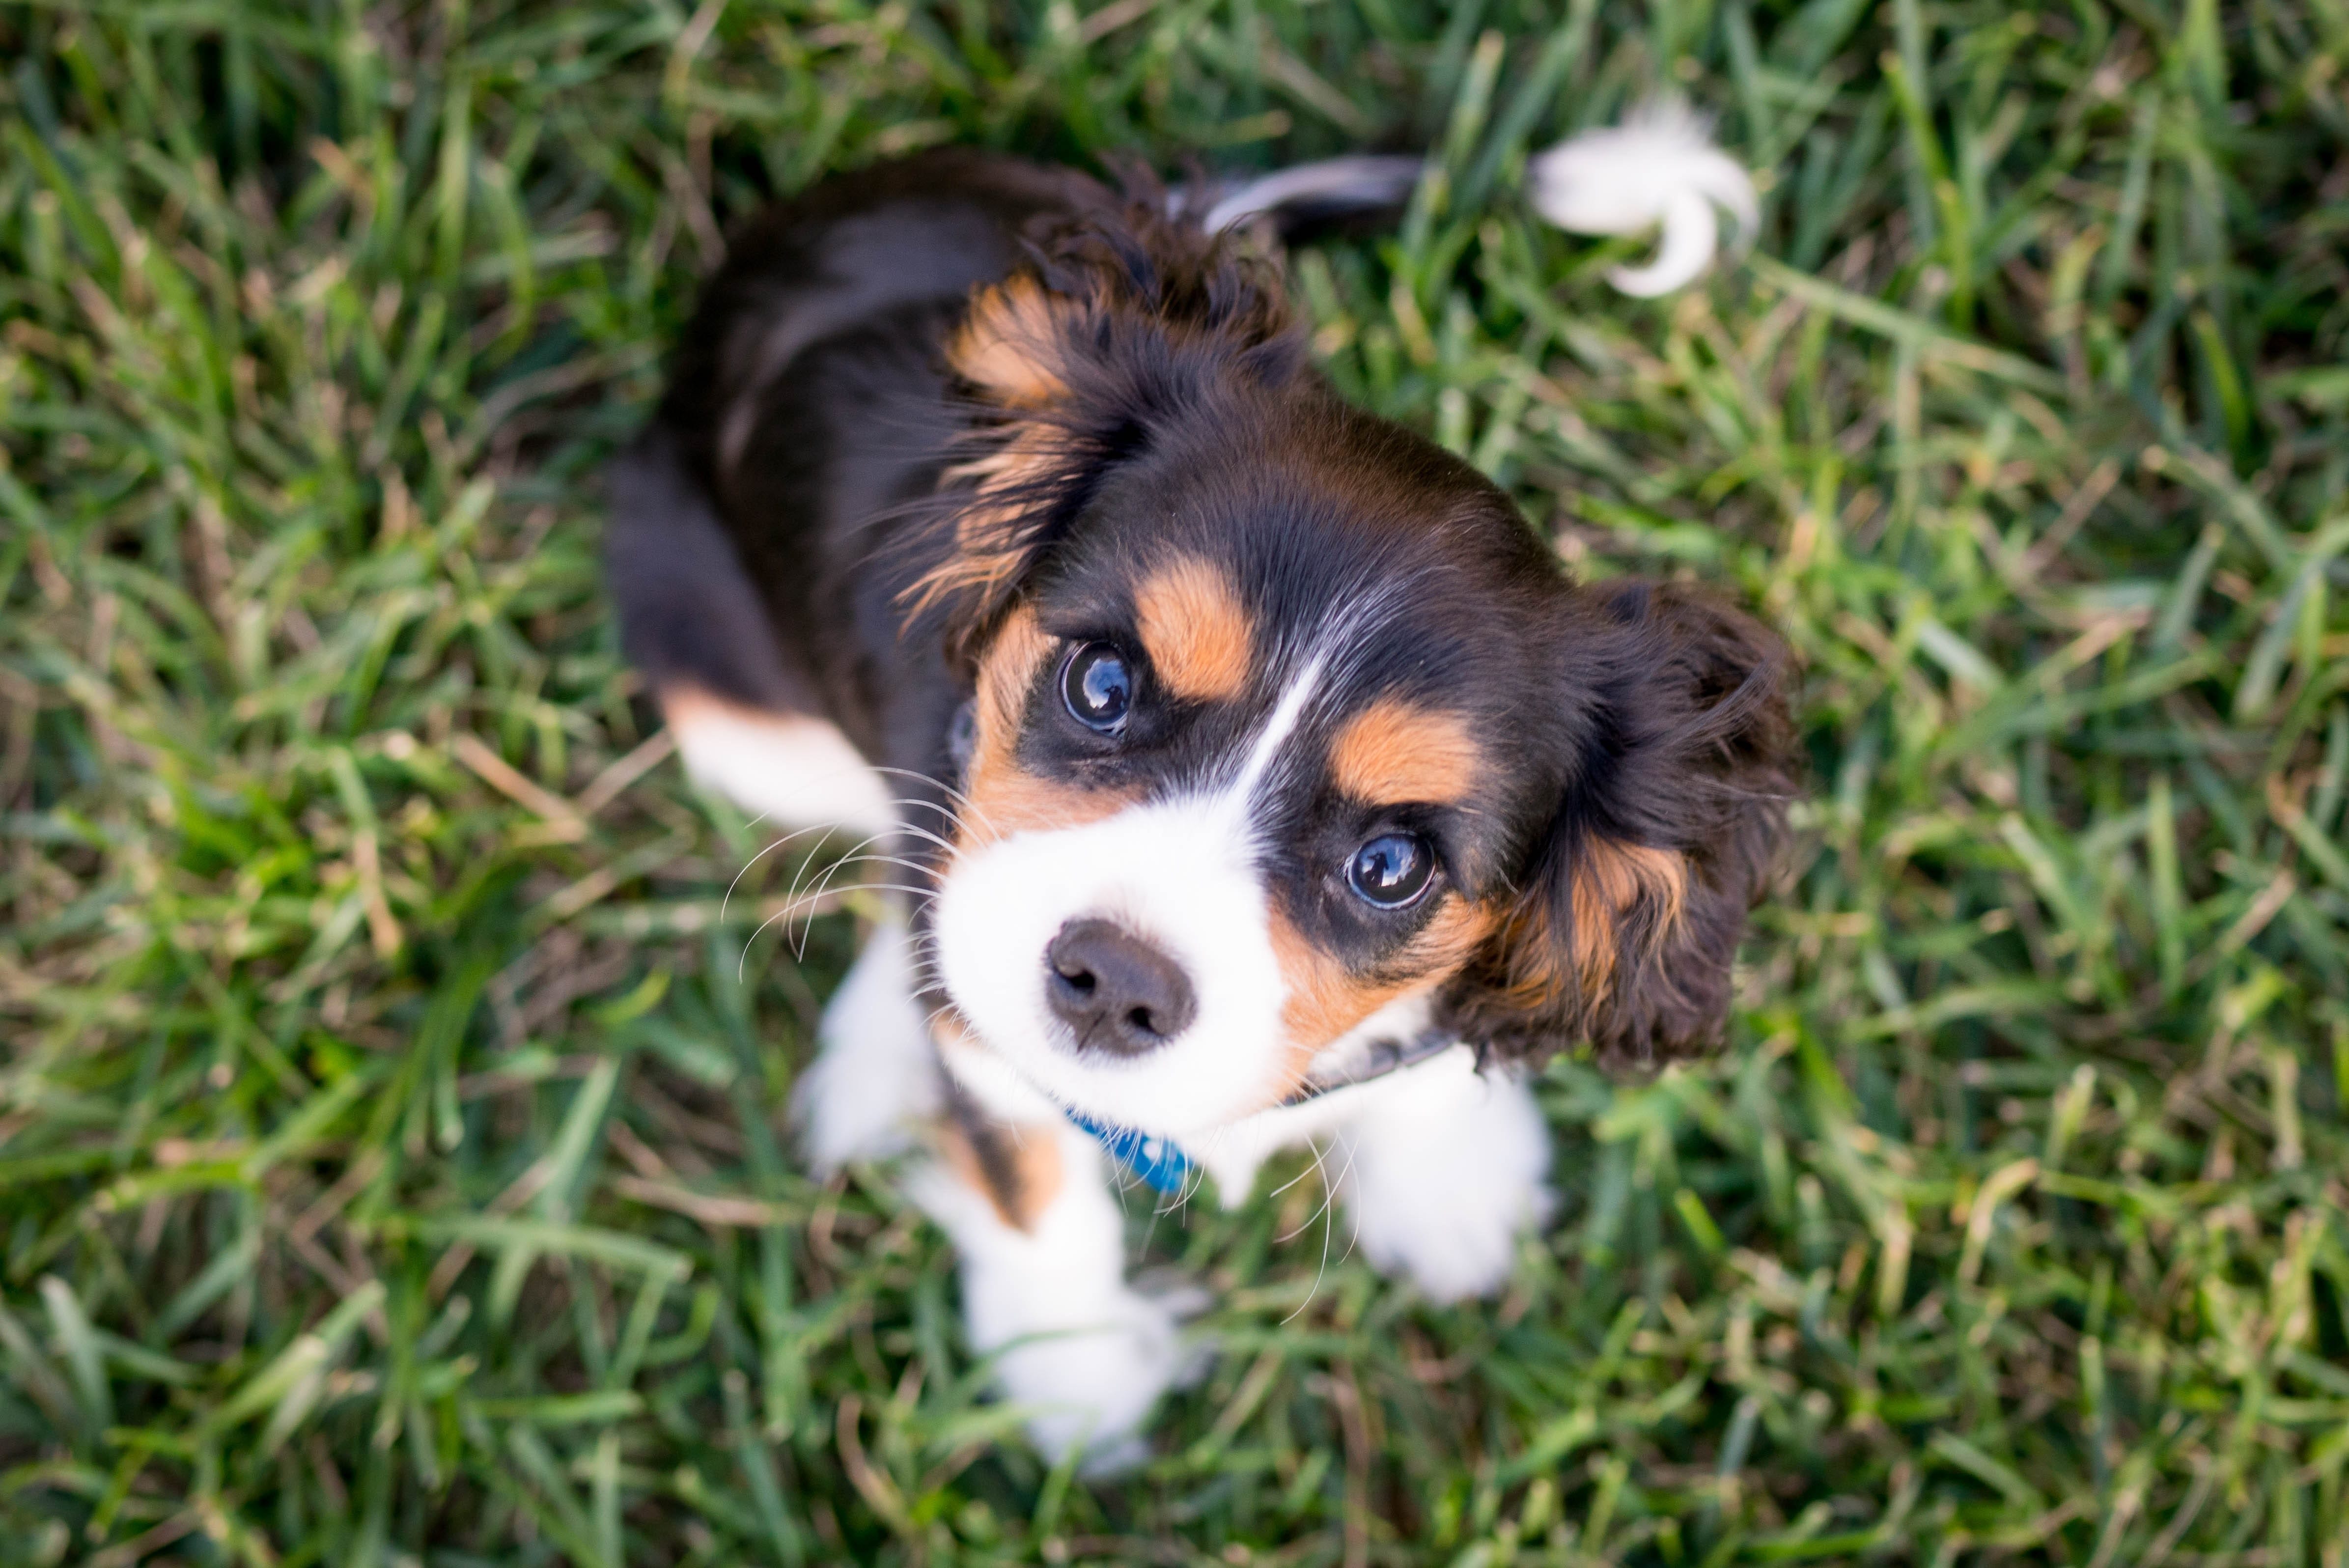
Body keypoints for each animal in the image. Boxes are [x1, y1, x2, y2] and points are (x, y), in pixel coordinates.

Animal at [611, 150, 1794, 1474]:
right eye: (1102, 686)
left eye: (1392, 865)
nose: (1114, 983)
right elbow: (1030, 1180)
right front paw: (1071, 1382)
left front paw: (1450, 1183)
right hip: (730, 701)